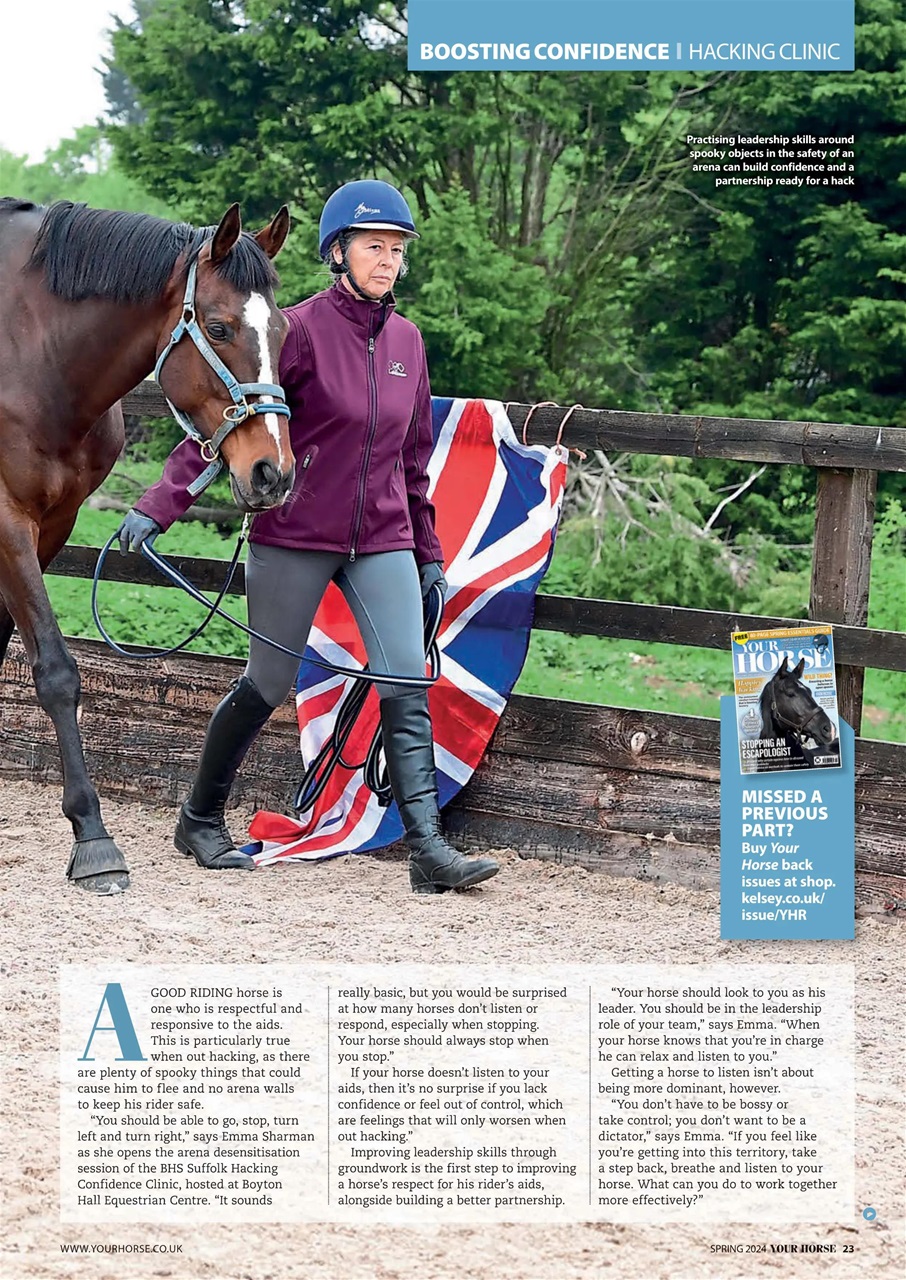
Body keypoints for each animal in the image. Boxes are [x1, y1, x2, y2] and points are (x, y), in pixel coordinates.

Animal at [0, 197, 294, 894]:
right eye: (218, 328)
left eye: (283, 332)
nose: (272, 472)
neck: (27, 351)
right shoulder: (7, 518)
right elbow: (56, 671)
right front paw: (93, 839)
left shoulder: (53, 524)